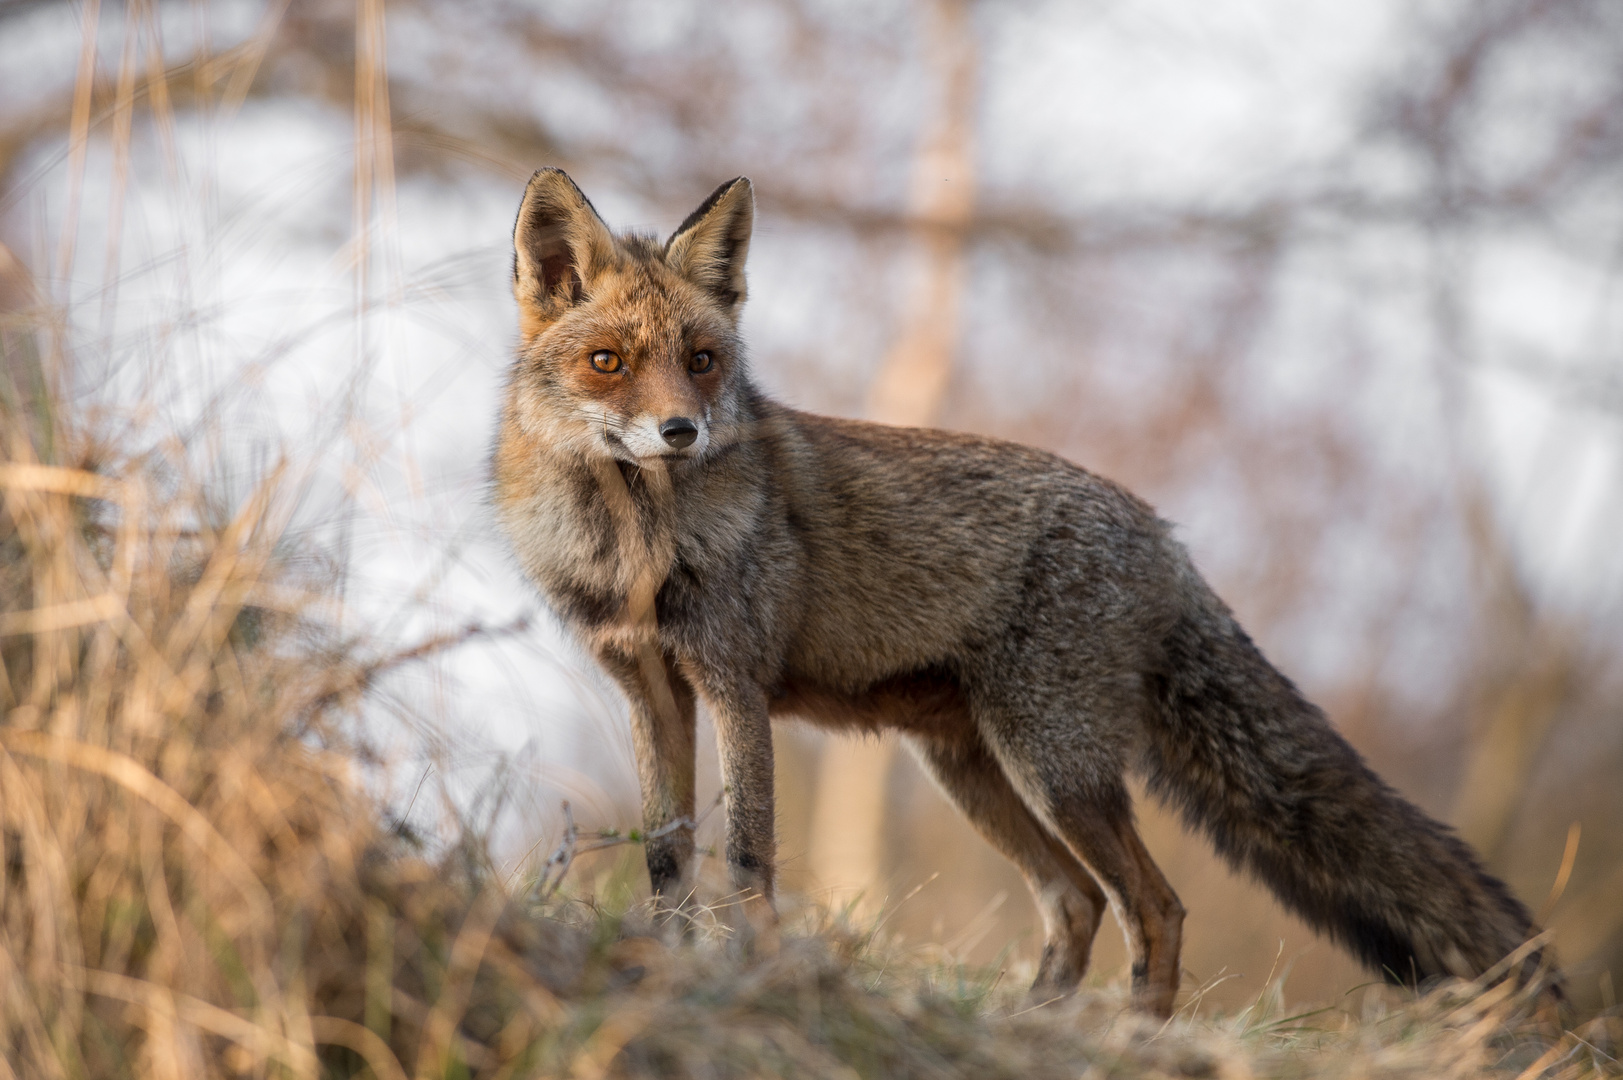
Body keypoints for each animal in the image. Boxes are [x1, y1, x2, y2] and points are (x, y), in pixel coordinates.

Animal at [493, 166, 1558, 1013]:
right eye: (607, 363)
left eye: (703, 362)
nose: (681, 432)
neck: (636, 545)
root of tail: (1161, 533)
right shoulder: (652, 691)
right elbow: (665, 856)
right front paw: (666, 965)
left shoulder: (733, 685)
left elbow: (748, 858)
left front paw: (746, 974)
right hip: (972, 768)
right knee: (1078, 902)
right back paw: (1040, 1021)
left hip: (1052, 765)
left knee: (1153, 906)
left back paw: (1133, 1037)